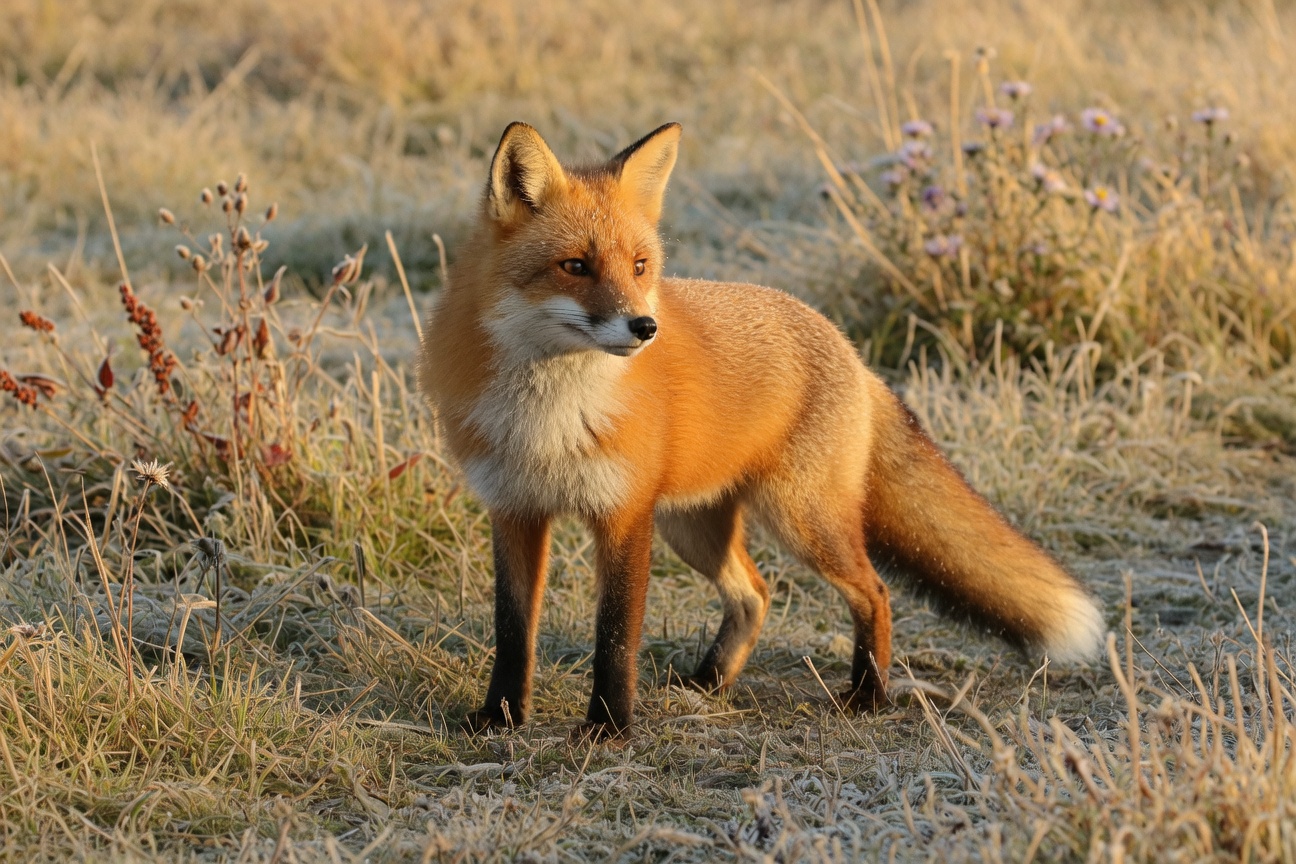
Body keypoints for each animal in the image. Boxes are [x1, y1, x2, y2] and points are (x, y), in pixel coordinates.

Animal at [418, 121, 1105, 737]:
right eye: (575, 266)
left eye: (639, 265)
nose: (645, 327)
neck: (548, 418)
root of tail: (849, 349)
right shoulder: (514, 510)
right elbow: (513, 632)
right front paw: (499, 719)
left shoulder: (624, 515)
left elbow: (614, 636)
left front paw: (609, 728)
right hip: (693, 527)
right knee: (756, 593)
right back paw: (709, 683)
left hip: (799, 520)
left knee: (874, 592)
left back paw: (868, 695)